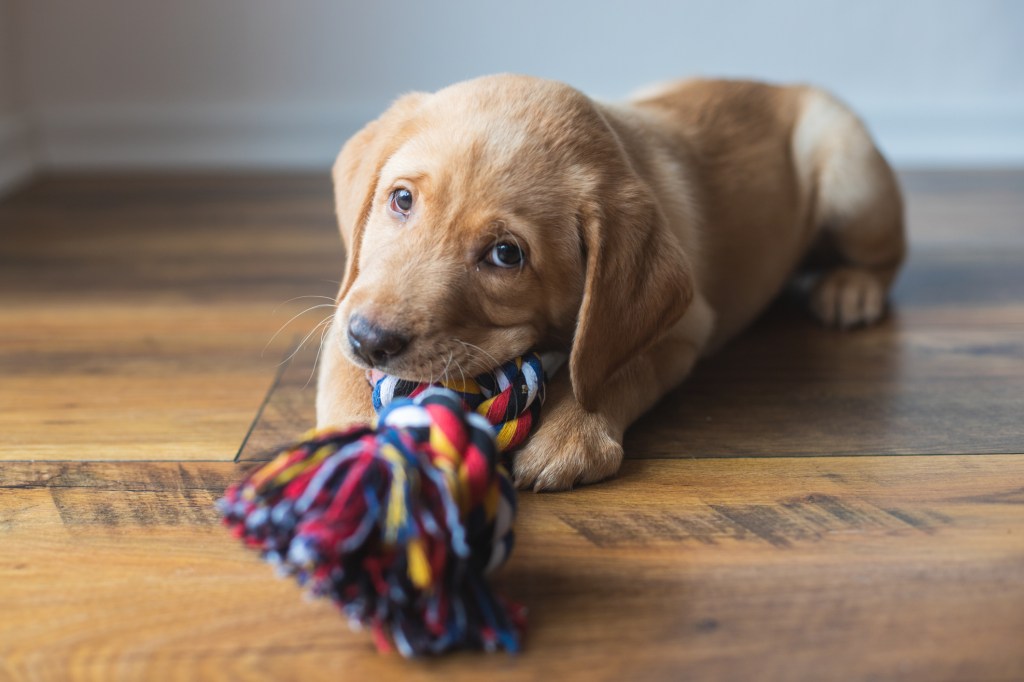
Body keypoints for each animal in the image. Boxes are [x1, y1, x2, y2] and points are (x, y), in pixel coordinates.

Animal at [313, 73, 905, 489]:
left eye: (506, 254)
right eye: (401, 199)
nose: (371, 340)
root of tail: (787, 87)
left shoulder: (684, 329)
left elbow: (611, 368)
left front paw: (571, 433)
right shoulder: (350, 301)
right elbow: (343, 371)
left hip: (850, 176)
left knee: (888, 254)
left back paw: (850, 288)